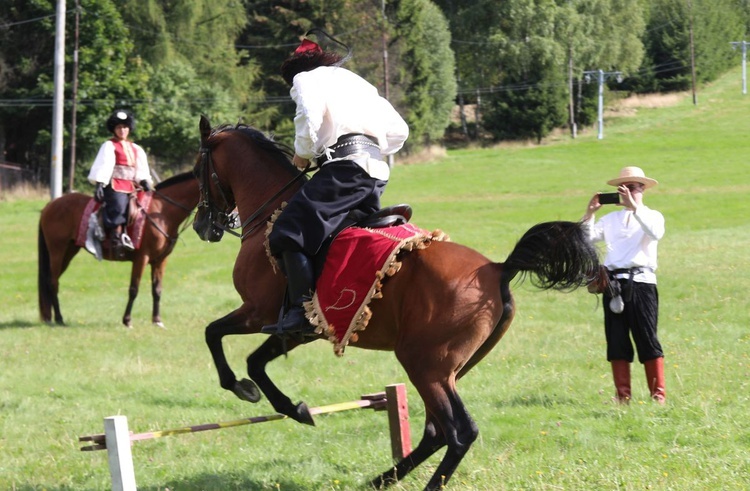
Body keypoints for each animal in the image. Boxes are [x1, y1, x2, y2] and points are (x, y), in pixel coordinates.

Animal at [37, 171, 203, 328]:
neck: (163, 211)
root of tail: (50, 205)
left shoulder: (160, 260)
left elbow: (157, 290)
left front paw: (157, 320)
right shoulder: (141, 258)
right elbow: (134, 289)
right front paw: (127, 320)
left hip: (68, 251)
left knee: (53, 281)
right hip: (57, 251)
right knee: (53, 282)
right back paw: (59, 318)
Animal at [194, 116, 604, 491]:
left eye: (198, 171)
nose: (201, 226)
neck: (271, 212)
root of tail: (498, 268)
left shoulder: (258, 313)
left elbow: (213, 334)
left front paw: (241, 387)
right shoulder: (300, 330)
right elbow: (255, 361)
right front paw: (292, 407)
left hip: (424, 365)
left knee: (459, 431)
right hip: (447, 371)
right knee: (436, 431)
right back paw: (380, 479)